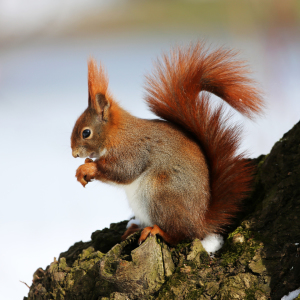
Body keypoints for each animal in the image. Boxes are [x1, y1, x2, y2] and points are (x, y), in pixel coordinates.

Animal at [70, 42, 262, 246]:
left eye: (86, 133)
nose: (74, 154)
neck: (116, 133)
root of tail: (201, 222)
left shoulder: (133, 149)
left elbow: (124, 170)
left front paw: (87, 168)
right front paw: (86, 167)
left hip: (161, 193)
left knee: (182, 234)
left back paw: (157, 231)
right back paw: (134, 228)